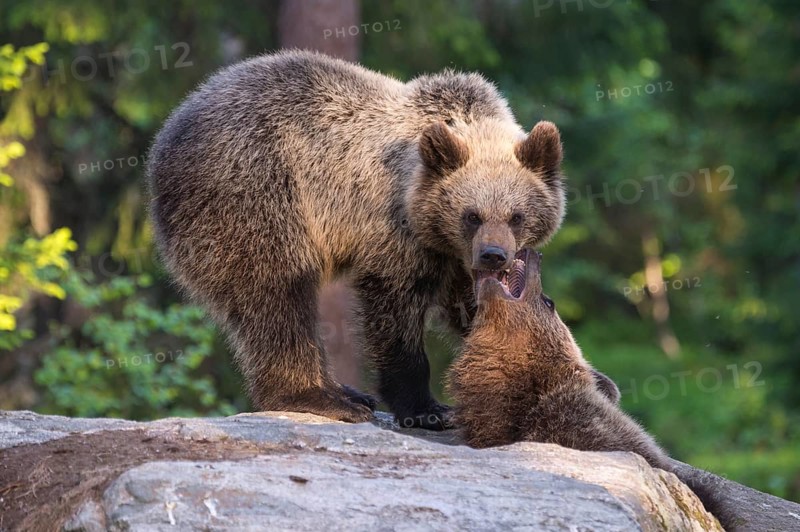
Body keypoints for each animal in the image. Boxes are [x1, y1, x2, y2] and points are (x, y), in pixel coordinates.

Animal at [147, 49, 567, 429]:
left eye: (516, 216)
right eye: (472, 215)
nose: (494, 255)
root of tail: (162, 143)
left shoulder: (451, 255)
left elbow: (473, 306)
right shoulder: (396, 231)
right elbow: (395, 310)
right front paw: (426, 408)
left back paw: (345, 390)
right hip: (257, 196)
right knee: (277, 296)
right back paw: (320, 397)